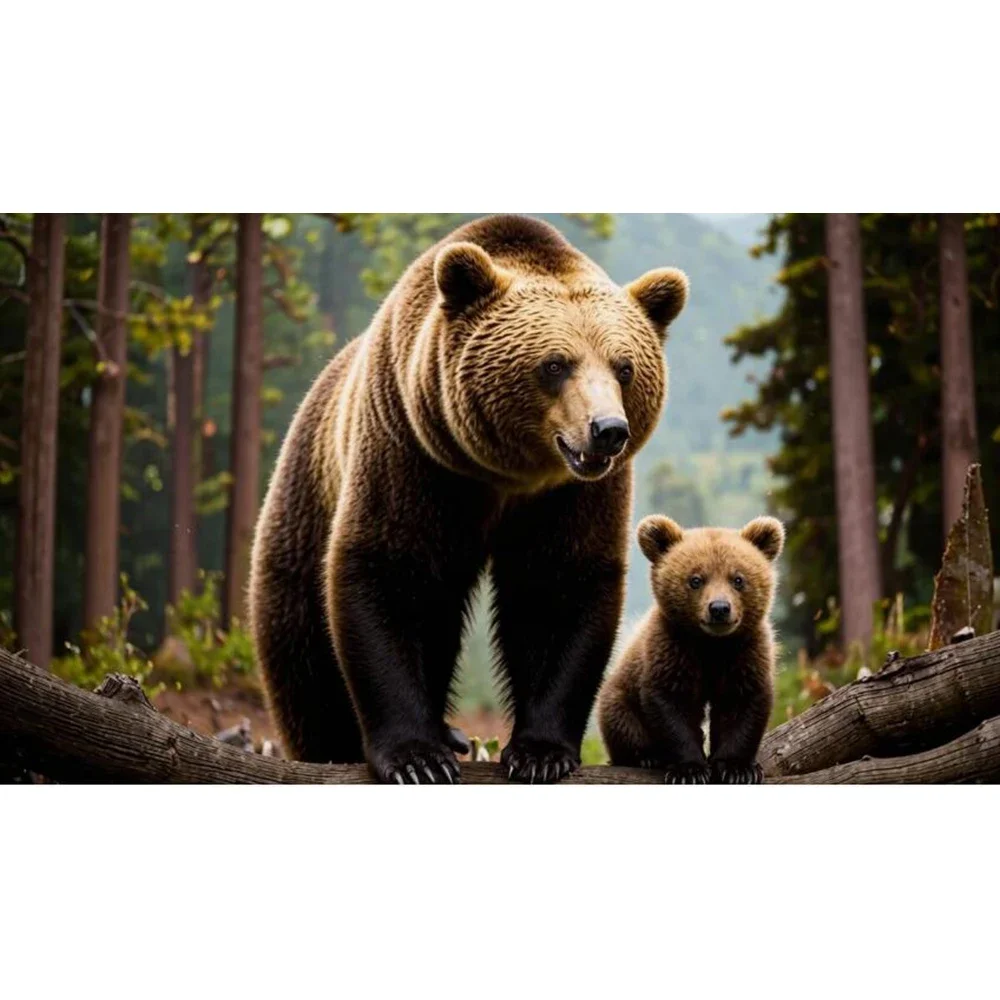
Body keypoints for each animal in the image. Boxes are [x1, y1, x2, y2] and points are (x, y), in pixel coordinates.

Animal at [248, 215, 689, 783]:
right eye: (555, 364)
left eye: (625, 367)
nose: (607, 430)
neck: (503, 475)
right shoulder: (411, 449)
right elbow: (390, 571)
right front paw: (416, 756)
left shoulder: (573, 494)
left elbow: (558, 588)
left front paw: (541, 752)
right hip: (305, 497)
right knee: (304, 652)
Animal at [597, 514, 784, 784]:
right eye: (695, 579)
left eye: (738, 579)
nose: (719, 608)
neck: (710, 644)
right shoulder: (672, 649)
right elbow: (672, 708)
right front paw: (689, 770)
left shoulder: (745, 651)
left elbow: (741, 704)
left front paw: (738, 768)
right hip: (619, 695)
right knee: (620, 719)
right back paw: (647, 757)